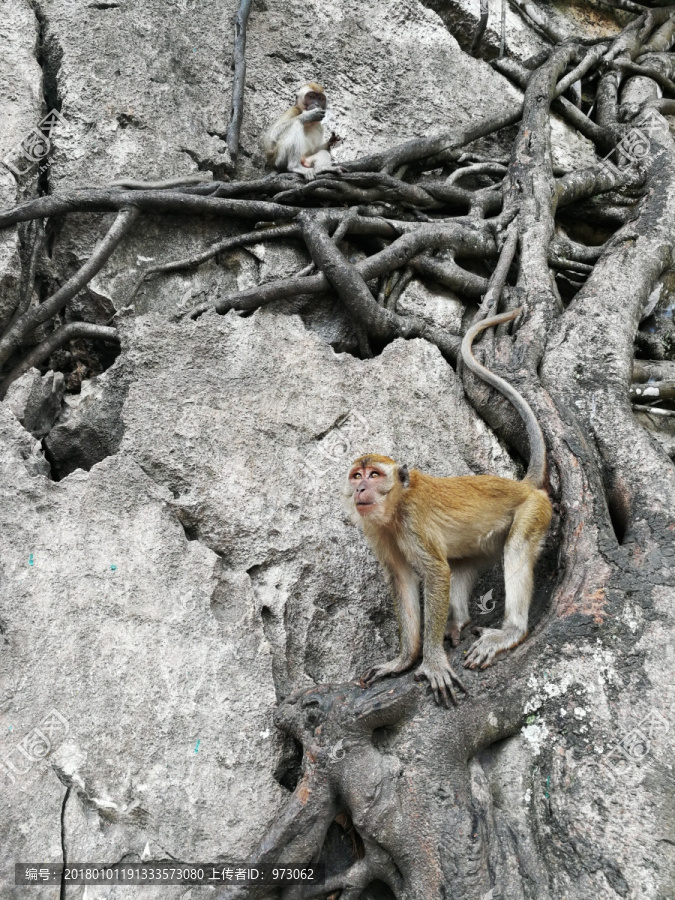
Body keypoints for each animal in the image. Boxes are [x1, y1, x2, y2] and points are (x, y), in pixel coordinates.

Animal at [340, 310, 552, 712]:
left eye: (374, 475)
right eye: (357, 475)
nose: (360, 488)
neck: (396, 507)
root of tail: (522, 485)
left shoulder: (411, 523)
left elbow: (436, 573)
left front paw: (432, 662)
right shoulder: (378, 532)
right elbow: (404, 580)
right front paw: (404, 660)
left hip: (535, 510)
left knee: (515, 549)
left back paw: (510, 632)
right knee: (461, 566)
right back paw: (459, 623)